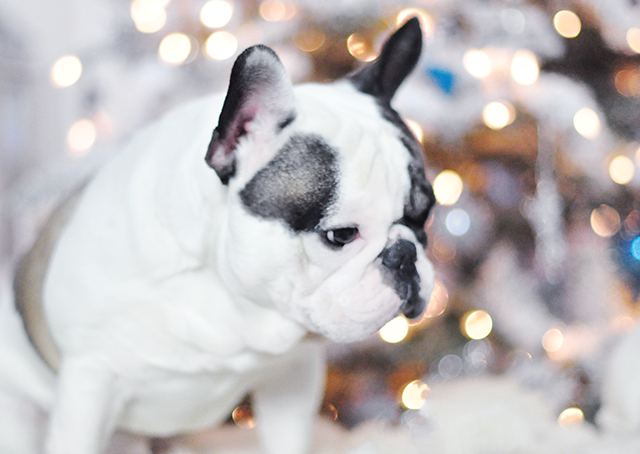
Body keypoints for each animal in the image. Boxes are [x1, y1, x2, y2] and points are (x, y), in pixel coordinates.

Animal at [0, 17, 436, 454]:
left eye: (426, 215)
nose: (405, 255)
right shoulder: (89, 383)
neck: (227, 287)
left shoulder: (293, 376)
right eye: (341, 235)